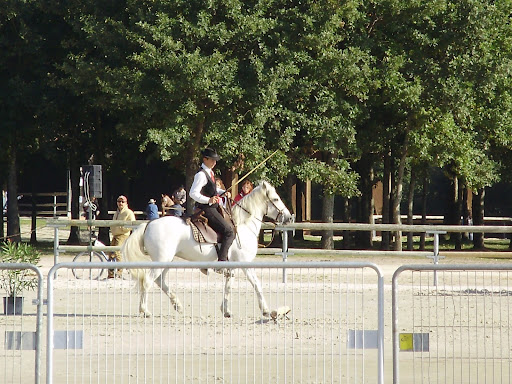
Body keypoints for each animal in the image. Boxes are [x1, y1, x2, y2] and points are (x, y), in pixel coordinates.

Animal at [120, 180, 294, 318]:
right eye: (275, 199)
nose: (289, 217)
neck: (243, 225)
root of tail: (149, 224)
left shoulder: (233, 267)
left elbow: (228, 287)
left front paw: (226, 310)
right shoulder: (245, 263)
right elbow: (256, 284)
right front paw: (265, 310)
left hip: (167, 260)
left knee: (159, 280)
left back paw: (177, 305)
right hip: (162, 260)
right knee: (148, 281)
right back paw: (145, 311)